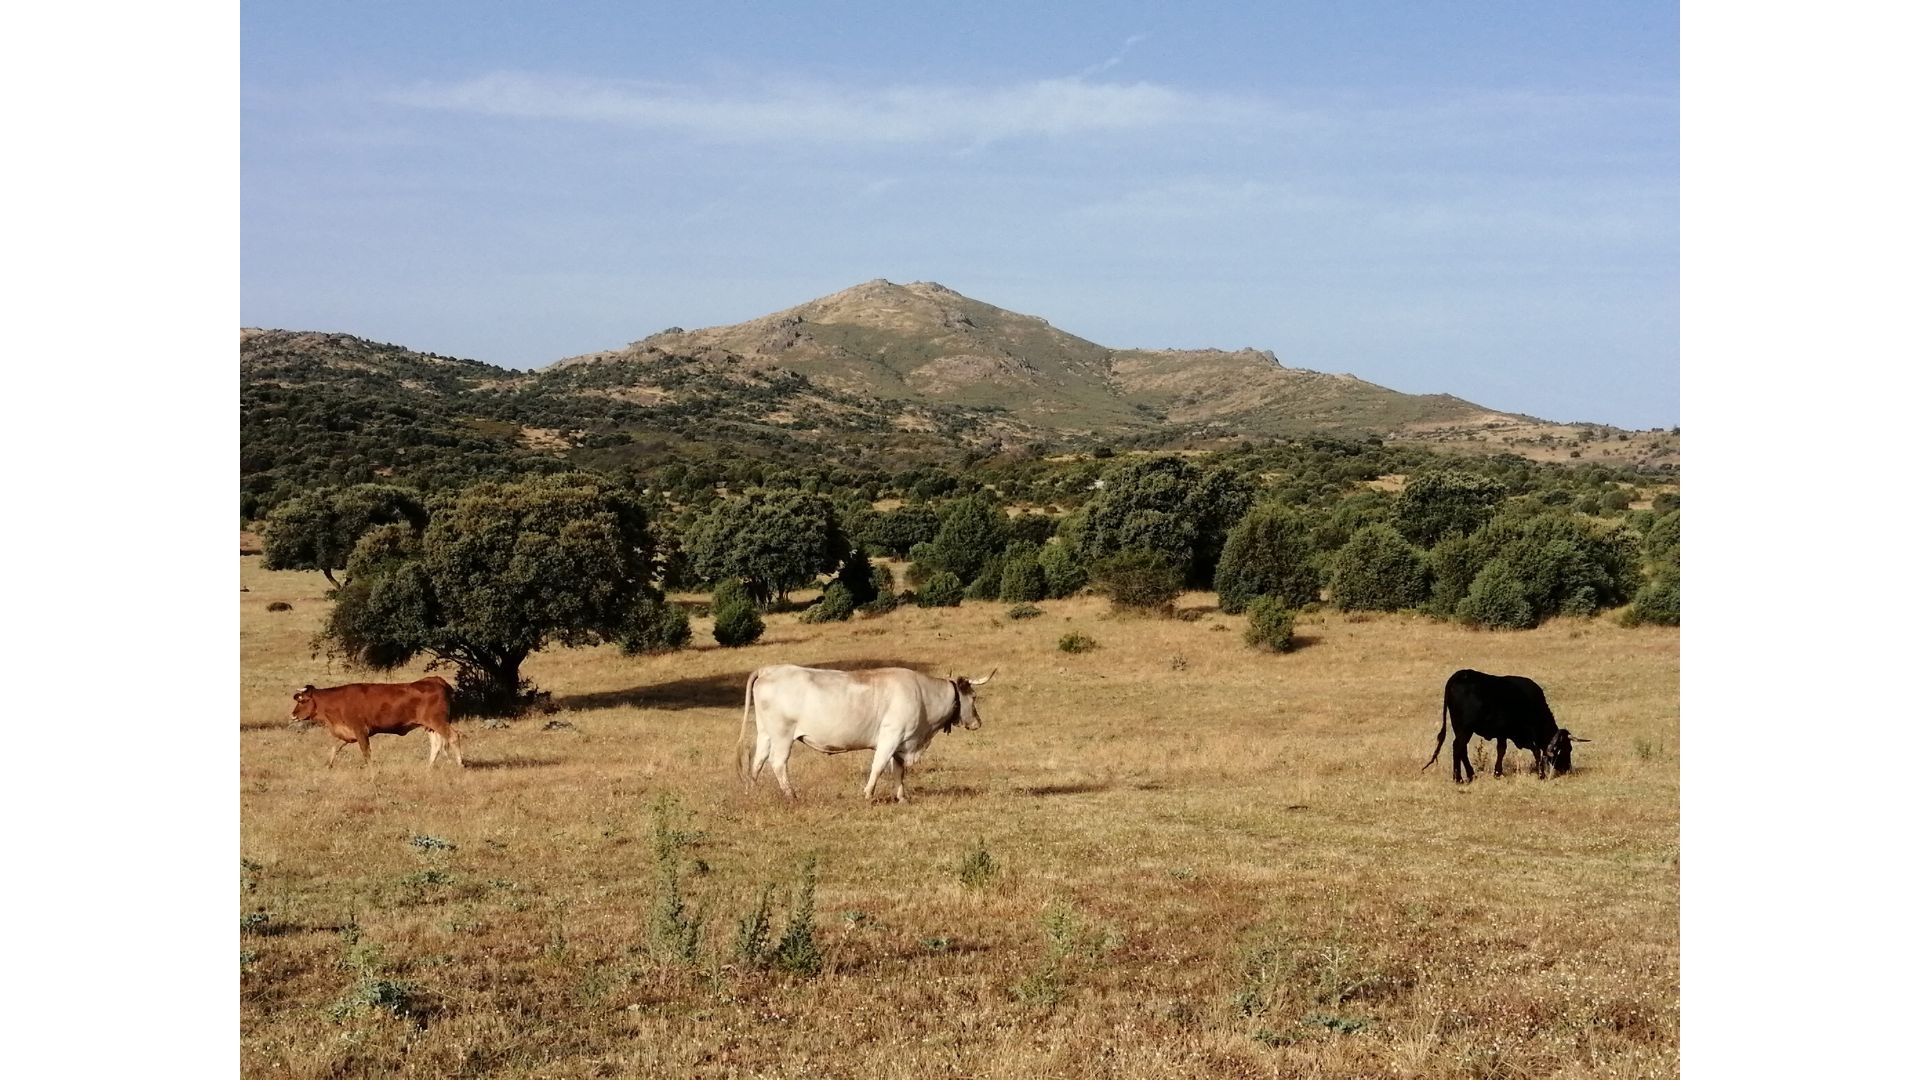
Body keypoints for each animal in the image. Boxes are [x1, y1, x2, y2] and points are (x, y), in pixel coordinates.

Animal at [284, 672, 464, 764]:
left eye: (303, 700)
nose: (292, 715)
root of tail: (435, 680)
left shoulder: (360, 730)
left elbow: (366, 753)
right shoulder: (345, 732)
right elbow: (334, 749)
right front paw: (328, 765)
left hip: (438, 722)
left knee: (453, 737)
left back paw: (460, 763)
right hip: (430, 725)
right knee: (437, 745)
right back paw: (429, 767)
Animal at [737, 661, 998, 803]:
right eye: (974, 697)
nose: (978, 722)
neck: (923, 695)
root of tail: (769, 669)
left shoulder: (902, 743)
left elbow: (899, 771)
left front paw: (902, 797)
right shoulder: (891, 737)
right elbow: (879, 766)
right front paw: (868, 794)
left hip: (766, 733)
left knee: (757, 761)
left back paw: (751, 792)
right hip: (782, 734)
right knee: (777, 763)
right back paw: (792, 796)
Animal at [1420, 668, 1582, 776]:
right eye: (1567, 749)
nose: (1567, 768)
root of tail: (1461, 674)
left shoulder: (1503, 733)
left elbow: (1501, 750)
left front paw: (1498, 772)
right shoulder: (1526, 732)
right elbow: (1536, 751)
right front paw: (1541, 774)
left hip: (1459, 727)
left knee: (1462, 749)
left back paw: (1471, 775)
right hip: (1465, 728)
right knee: (1457, 747)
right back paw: (1458, 778)